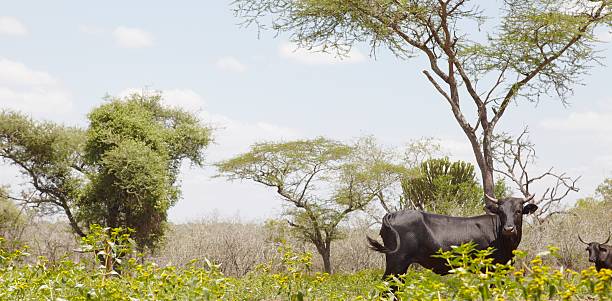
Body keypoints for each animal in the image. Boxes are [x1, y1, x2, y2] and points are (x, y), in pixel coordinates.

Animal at [368, 195, 536, 276]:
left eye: (518, 211)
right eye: (500, 211)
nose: (509, 228)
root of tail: (392, 214)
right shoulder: (492, 268)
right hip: (396, 264)